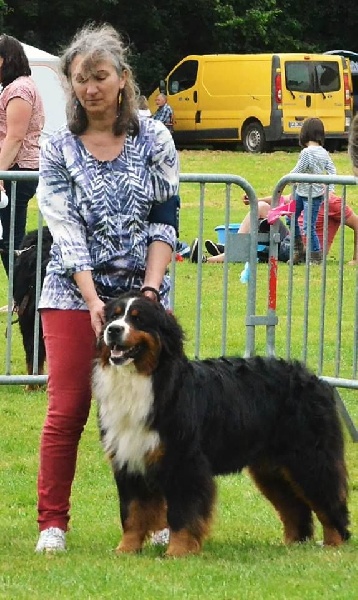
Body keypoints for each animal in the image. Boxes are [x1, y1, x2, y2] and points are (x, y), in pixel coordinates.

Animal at [91, 290, 350, 556]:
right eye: (112, 316)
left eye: (138, 319)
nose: (113, 330)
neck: (143, 380)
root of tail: (316, 379)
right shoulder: (129, 458)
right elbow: (132, 513)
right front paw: (125, 550)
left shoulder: (185, 462)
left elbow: (182, 513)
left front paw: (177, 552)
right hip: (272, 468)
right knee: (295, 508)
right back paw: (292, 545)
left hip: (310, 458)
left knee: (330, 501)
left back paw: (334, 545)